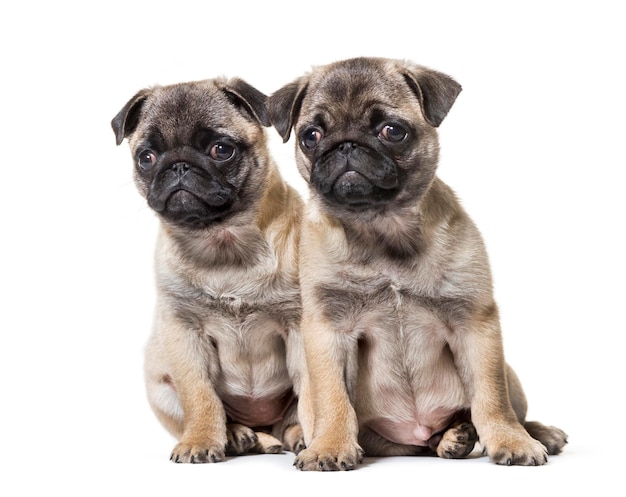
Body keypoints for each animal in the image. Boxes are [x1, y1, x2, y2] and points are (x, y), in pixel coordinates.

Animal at [113, 76, 306, 462]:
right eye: (146, 157)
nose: (178, 165)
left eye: (221, 149)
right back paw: (240, 435)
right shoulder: (185, 334)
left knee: (290, 420)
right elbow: (200, 395)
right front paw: (202, 440)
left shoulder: (297, 326)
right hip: (159, 387)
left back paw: (290, 435)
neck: (222, 242)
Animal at [266, 57, 564, 468]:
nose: (346, 145)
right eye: (310, 135)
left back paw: (528, 433)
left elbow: (491, 399)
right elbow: (332, 399)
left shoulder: (475, 324)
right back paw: (452, 438)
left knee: (506, 406)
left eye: (393, 131)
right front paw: (329, 446)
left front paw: (511, 441)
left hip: (510, 374)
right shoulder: (326, 331)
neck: (381, 228)